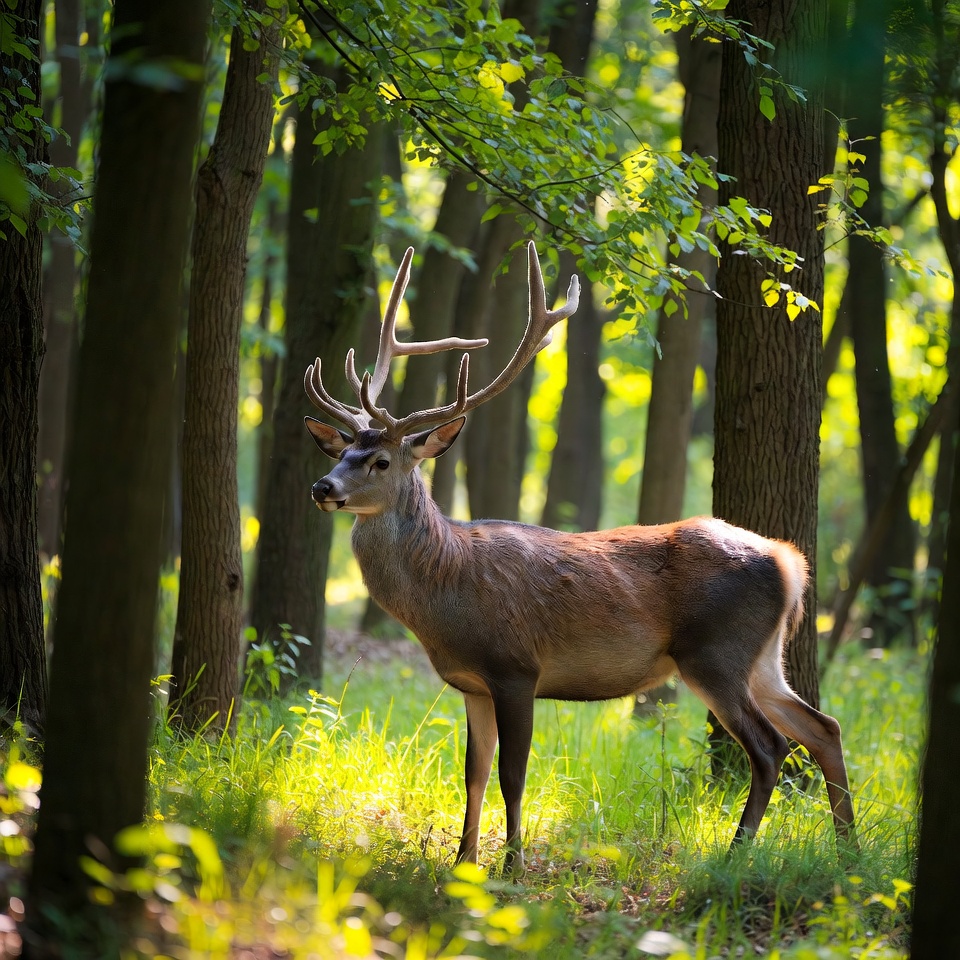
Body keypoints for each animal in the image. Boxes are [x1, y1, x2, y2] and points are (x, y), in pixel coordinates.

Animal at [303, 241, 856, 873]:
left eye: (380, 462)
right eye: (342, 452)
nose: (322, 487)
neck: (446, 597)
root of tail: (791, 563)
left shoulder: (516, 666)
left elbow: (512, 775)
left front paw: (512, 867)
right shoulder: (470, 683)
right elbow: (472, 774)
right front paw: (463, 863)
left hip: (715, 650)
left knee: (771, 746)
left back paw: (735, 853)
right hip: (762, 656)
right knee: (824, 727)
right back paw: (848, 849)